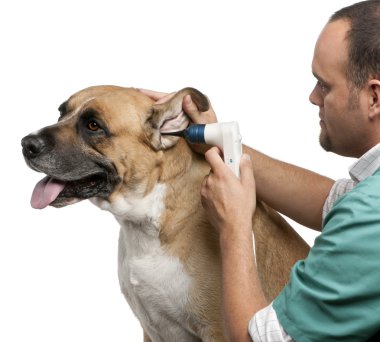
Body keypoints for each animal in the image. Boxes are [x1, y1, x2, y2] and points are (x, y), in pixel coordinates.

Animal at [21, 85, 308, 342]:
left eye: (93, 126)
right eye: (61, 112)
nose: (26, 144)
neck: (146, 222)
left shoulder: (218, 330)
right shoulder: (150, 329)